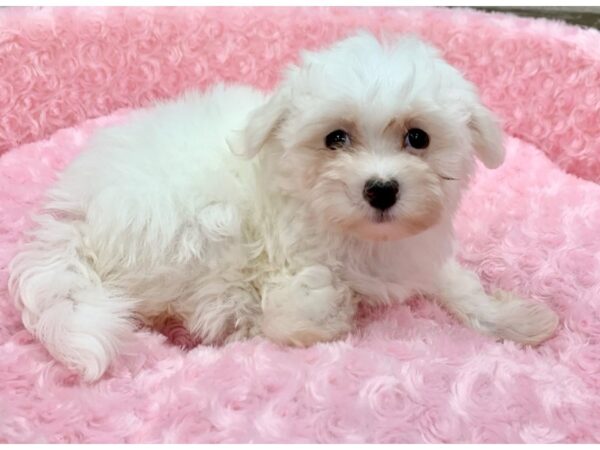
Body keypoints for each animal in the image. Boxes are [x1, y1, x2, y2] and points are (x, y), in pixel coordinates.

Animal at [7, 31, 556, 380]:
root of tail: (66, 215)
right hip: (190, 224)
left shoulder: (415, 251)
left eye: (418, 137)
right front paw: (323, 306)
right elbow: (295, 305)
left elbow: (456, 284)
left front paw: (514, 319)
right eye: (336, 138)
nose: (381, 189)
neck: (360, 236)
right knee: (212, 306)